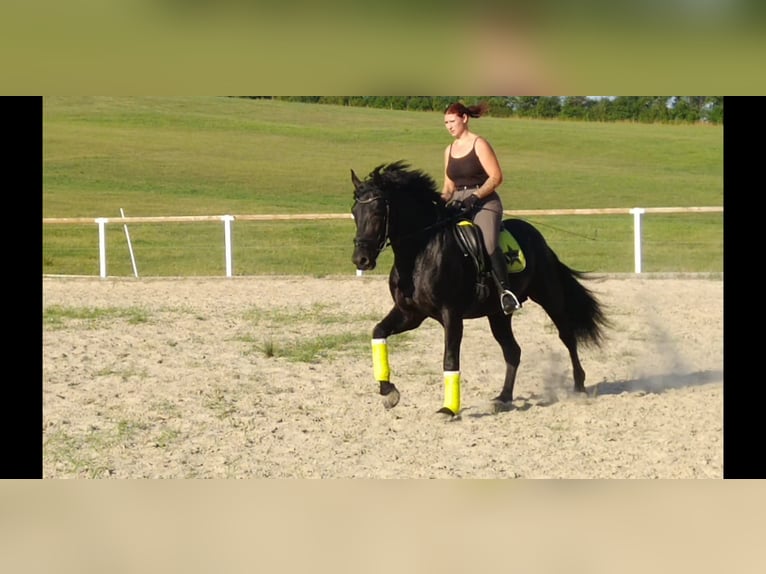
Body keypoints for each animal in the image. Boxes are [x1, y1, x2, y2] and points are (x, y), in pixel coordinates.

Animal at [352, 162, 608, 418]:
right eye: (354, 212)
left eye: (377, 212)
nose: (360, 260)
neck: (419, 253)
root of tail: (538, 238)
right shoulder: (411, 314)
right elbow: (378, 332)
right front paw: (388, 391)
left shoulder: (451, 315)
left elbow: (450, 359)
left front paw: (448, 409)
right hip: (498, 314)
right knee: (513, 351)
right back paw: (503, 398)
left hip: (549, 296)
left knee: (567, 336)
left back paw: (579, 386)